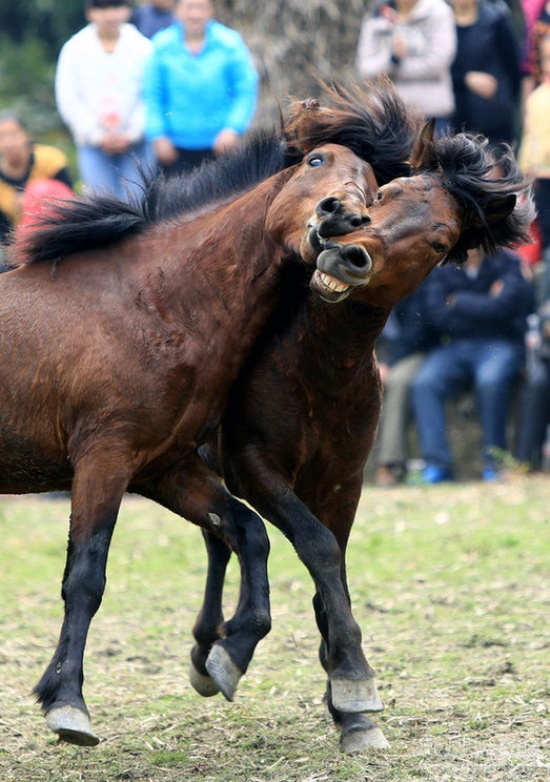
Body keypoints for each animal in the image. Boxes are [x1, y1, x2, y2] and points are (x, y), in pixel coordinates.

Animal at [0, 82, 416, 752]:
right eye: (315, 161)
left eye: (375, 190)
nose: (339, 217)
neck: (153, 302)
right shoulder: (104, 458)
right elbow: (86, 576)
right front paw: (68, 705)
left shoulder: (161, 467)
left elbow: (246, 532)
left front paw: (225, 654)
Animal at [194, 125, 536, 756]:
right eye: (383, 195)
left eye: (439, 240)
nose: (348, 253)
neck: (319, 368)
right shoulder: (253, 466)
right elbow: (319, 547)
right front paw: (351, 679)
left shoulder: (343, 480)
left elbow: (332, 565)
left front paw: (346, 696)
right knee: (222, 535)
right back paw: (216, 642)